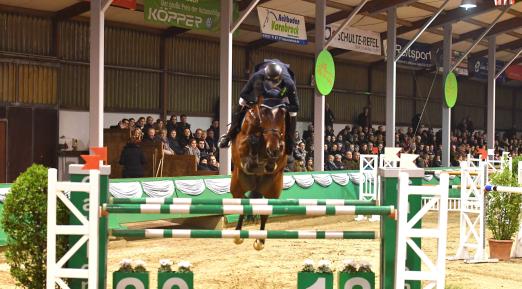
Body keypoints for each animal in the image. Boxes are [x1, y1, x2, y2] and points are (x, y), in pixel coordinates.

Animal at [229, 95, 286, 249]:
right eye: (264, 114)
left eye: (281, 117)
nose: (273, 149)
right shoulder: (242, 143)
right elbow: (249, 143)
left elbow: (280, 149)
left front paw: (271, 160)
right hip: (237, 186)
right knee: (242, 203)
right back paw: (238, 235)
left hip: (273, 191)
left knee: (264, 211)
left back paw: (260, 240)